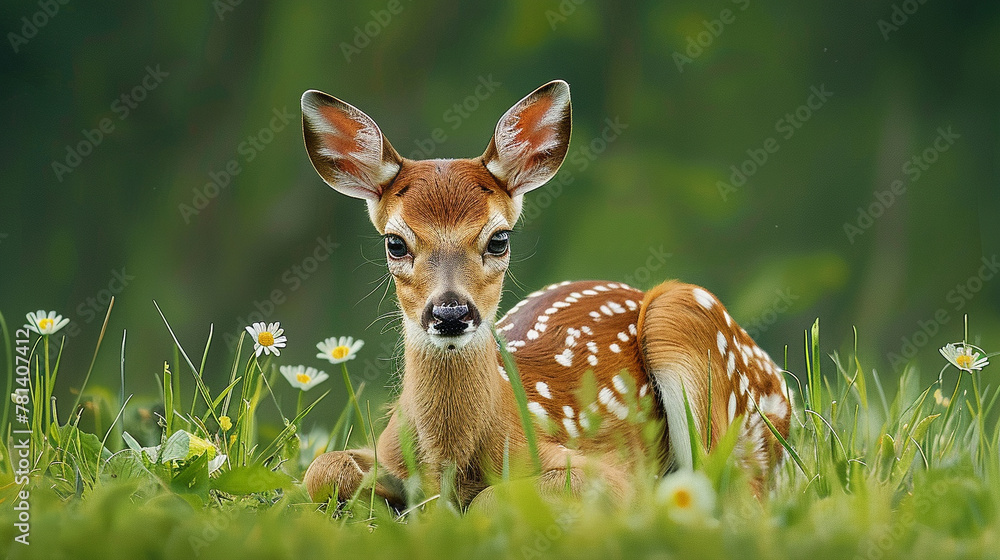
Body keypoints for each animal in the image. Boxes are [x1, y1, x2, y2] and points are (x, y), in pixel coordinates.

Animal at [299, 80, 791, 510]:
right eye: (395, 243)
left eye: (499, 239)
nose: (451, 313)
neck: (451, 461)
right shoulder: (383, 449)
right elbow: (321, 470)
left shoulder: (608, 477)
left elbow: (492, 501)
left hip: (688, 326)